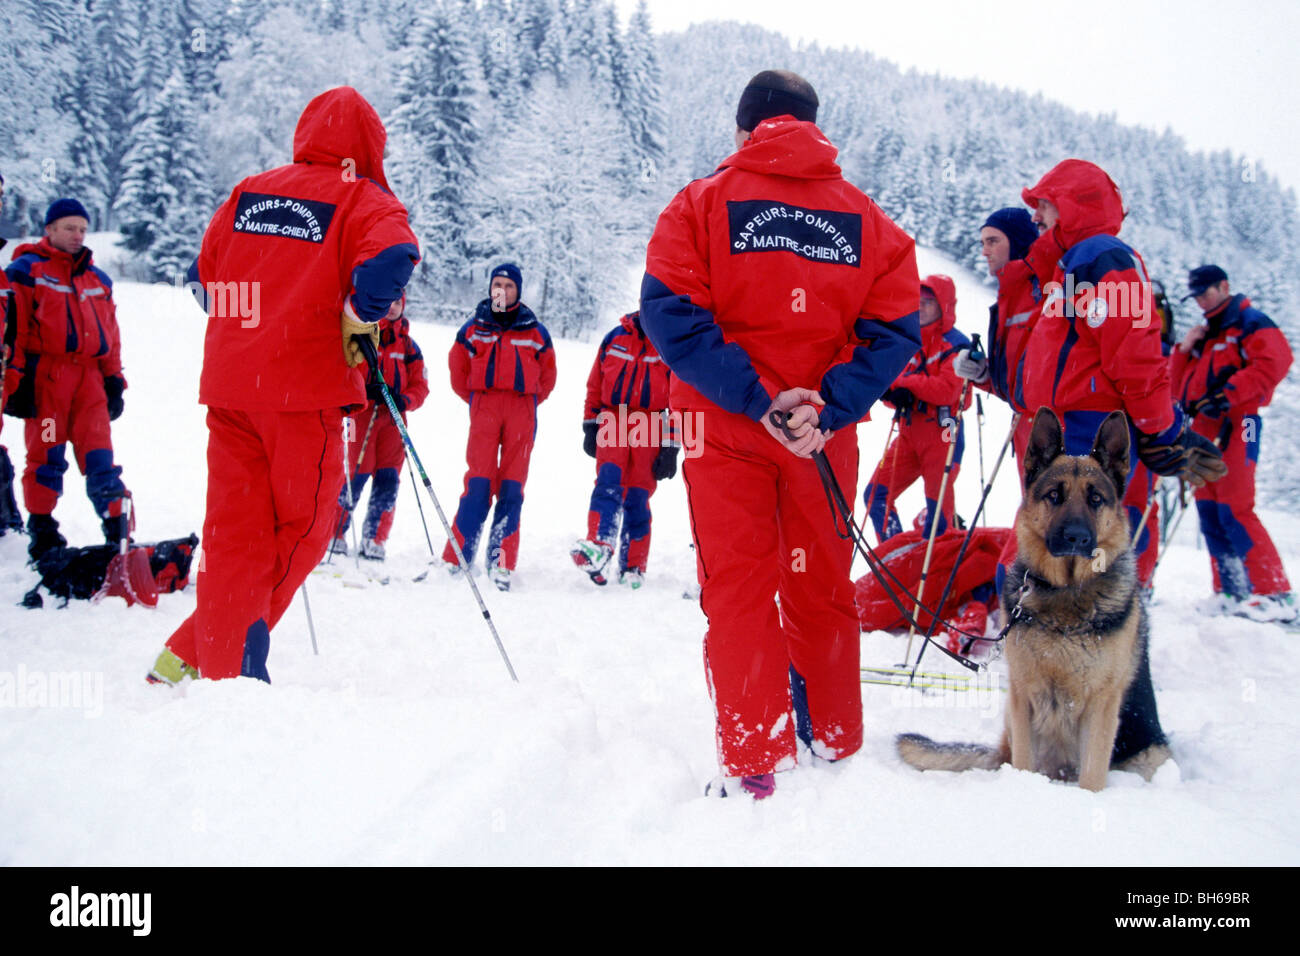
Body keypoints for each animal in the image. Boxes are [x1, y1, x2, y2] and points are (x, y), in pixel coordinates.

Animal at [899, 408, 1175, 790]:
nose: (1075, 537)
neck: (1065, 593)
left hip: (1152, 754)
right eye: (1054, 495)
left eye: (1095, 499)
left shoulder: (1101, 706)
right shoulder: (1022, 697)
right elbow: (1024, 764)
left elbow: (1092, 777)